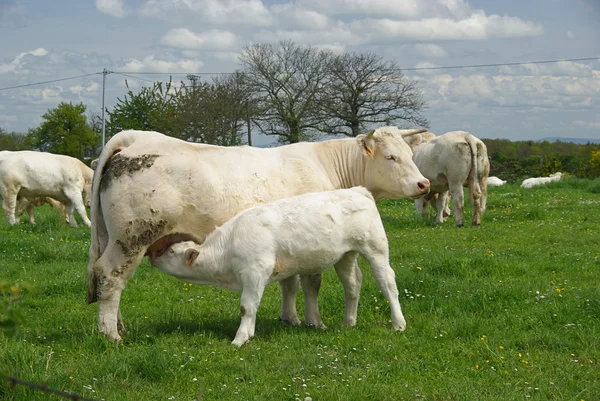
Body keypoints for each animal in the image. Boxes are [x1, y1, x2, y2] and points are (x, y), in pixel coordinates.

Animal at [152, 186, 406, 346]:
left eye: (171, 251)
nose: (152, 256)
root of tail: (357, 191)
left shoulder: (255, 272)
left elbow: (247, 306)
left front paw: (240, 338)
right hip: (346, 255)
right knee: (352, 284)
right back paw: (348, 323)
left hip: (375, 248)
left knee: (388, 283)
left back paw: (398, 324)